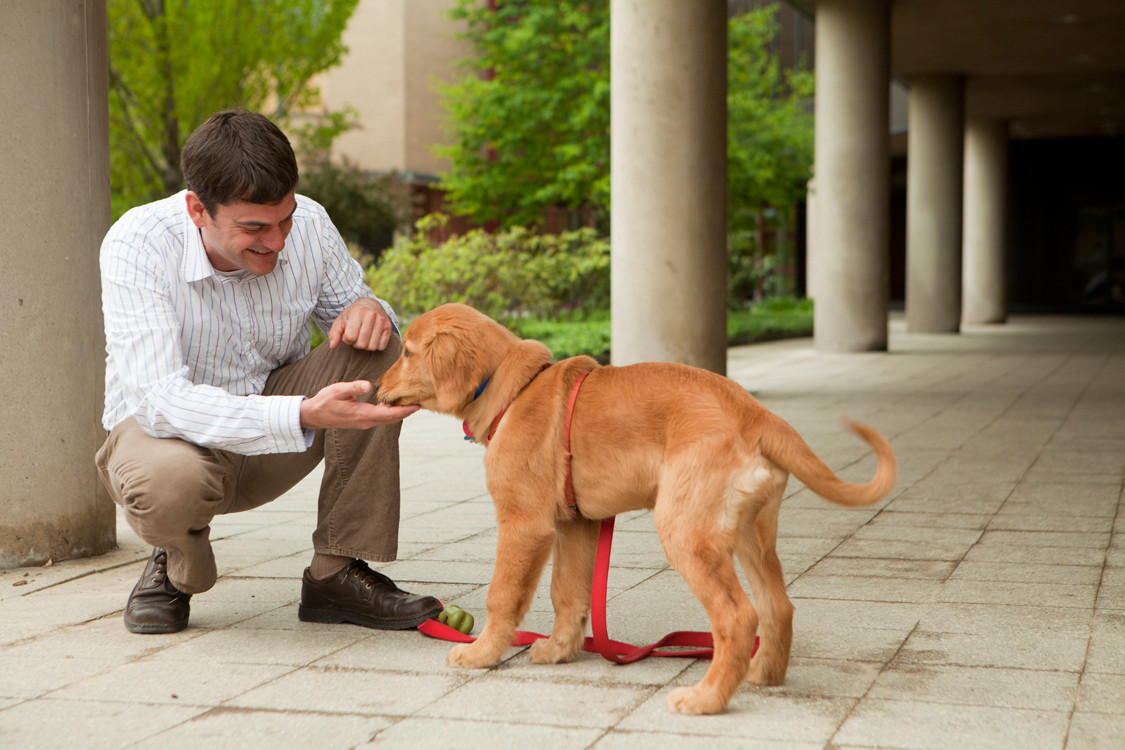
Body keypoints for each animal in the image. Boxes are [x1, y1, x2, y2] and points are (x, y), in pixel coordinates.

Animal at [378, 301, 895, 715]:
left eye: (407, 353)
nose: (377, 385)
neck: (514, 389)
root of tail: (756, 415)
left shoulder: (524, 523)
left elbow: (503, 595)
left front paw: (481, 654)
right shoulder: (577, 524)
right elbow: (568, 594)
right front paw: (560, 650)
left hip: (685, 530)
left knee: (737, 617)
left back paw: (707, 699)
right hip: (751, 534)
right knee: (778, 607)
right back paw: (762, 675)